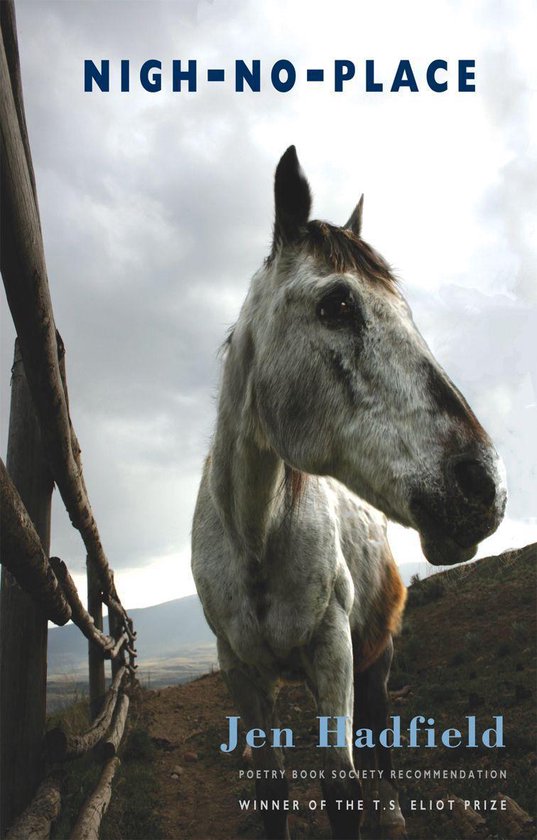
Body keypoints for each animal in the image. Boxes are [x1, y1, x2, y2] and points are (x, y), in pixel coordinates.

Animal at [191, 146, 506, 840]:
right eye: (338, 304)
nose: (485, 486)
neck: (254, 535)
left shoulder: (333, 647)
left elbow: (343, 786)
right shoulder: (240, 671)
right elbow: (272, 784)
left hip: (374, 655)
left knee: (379, 736)